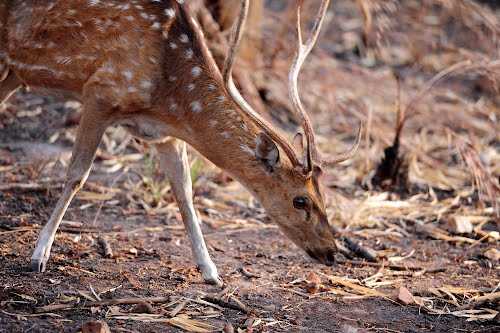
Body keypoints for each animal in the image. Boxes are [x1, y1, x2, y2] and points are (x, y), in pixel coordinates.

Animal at [0, 0, 360, 286]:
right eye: (301, 200)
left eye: (323, 196)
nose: (332, 251)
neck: (167, 96)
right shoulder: (100, 92)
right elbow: (77, 174)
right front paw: (39, 255)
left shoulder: (163, 135)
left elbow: (185, 192)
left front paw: (212, 272)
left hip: (14, 73)